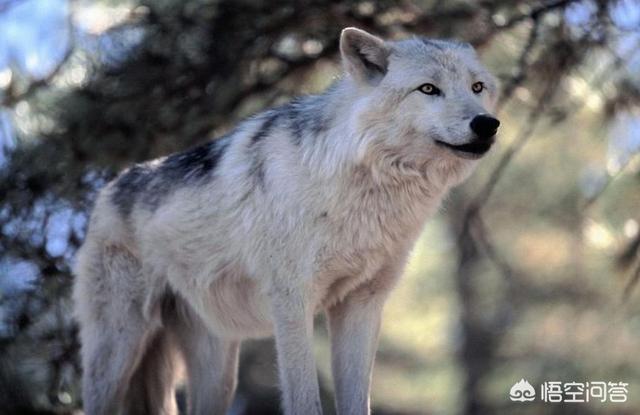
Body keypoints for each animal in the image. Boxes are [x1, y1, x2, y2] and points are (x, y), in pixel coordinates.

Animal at [71, 27, 500, 414]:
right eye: (428, 89)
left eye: (477, 87)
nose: (487, 124)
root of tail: (108, 189)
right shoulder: (292, 302)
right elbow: (304, 399)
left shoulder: (361, 306)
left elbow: (357, 401)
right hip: (118, 351)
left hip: (217, 371)